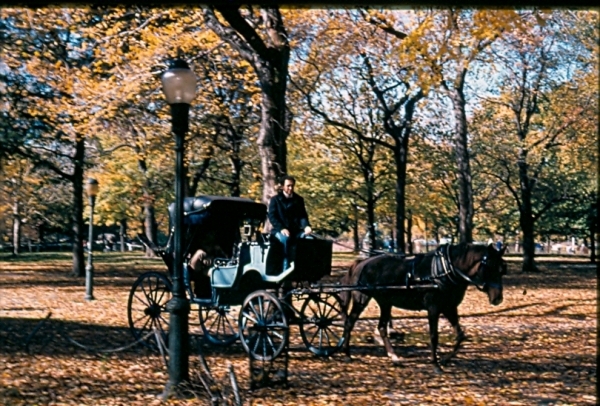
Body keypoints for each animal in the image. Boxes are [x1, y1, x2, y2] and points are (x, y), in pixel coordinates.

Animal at [340, 243, 504, 372]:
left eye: (503, 269)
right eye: (489, 267)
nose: (498, 298)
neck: (446, 270)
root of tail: (362, 263)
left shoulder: (449, 308)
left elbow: (460, 335)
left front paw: (445, 360)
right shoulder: (433, 308)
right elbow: (433, 336)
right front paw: (435, 364)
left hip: (385, 303)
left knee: (381, 328)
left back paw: (394, 357)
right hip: (361, 299)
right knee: (349, 322)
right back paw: (347, 354)